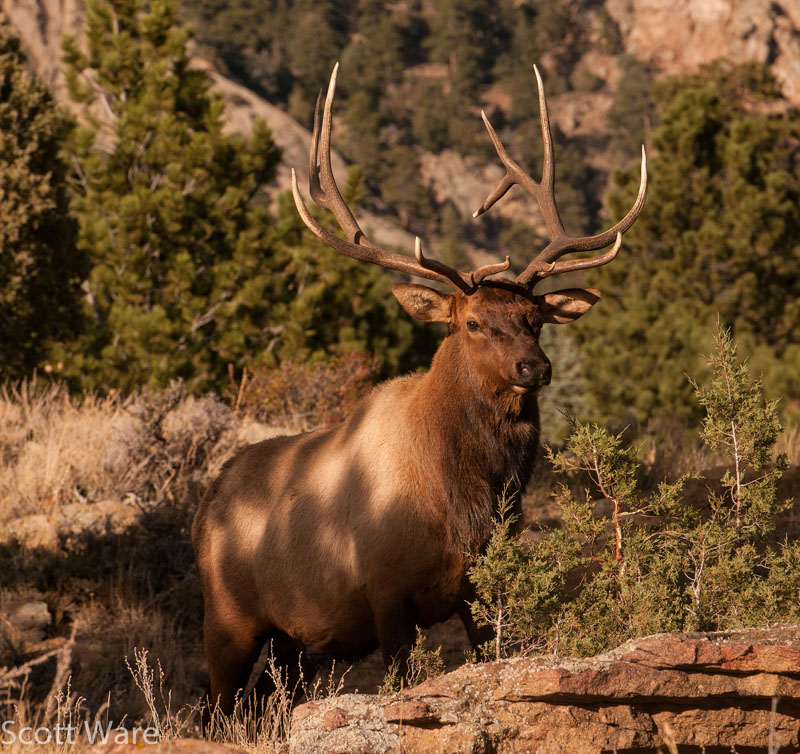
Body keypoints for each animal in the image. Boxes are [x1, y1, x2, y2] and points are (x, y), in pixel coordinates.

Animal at [192, 63, 647, 713]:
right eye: (473, 322)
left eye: (535, 319)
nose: (534, 367)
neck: (466, 499)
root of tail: (204, 508)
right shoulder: (385, 591)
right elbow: (402, 681)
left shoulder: (480, 586)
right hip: (228, 616)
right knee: (218, 708)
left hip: (295, 640)